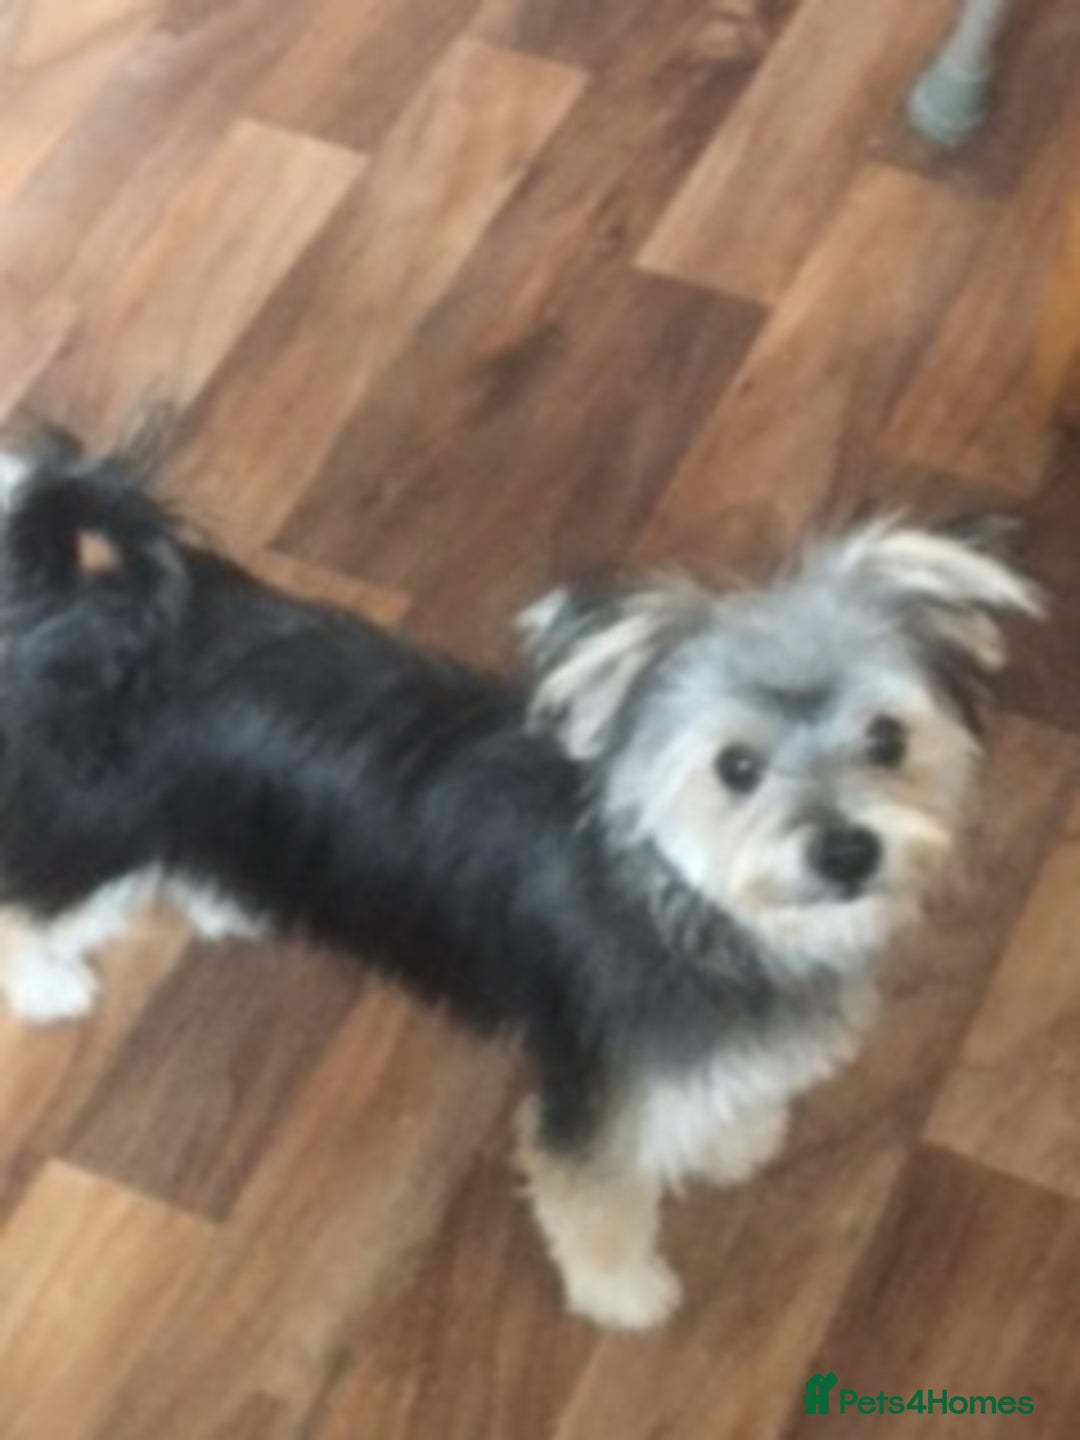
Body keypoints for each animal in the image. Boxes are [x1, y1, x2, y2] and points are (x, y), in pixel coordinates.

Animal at [0, 430, 1041, 1328]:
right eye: (736, 768)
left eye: (887, 739)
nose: (846, 850)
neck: (686, 900)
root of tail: (90, 608)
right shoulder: (598, 1098)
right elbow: (599, 1206)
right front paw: (624, 1295)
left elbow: (731, 1096)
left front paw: (734, 1140)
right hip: (91, 833)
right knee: (32, 903)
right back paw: (48, 984)